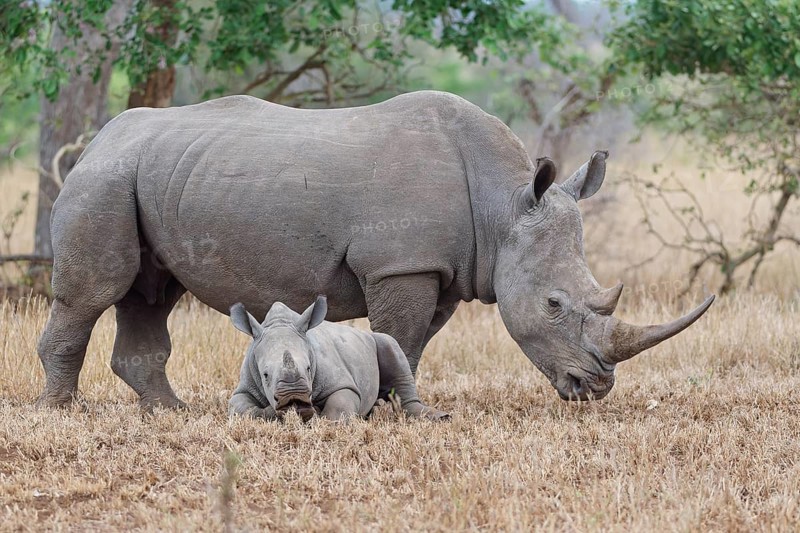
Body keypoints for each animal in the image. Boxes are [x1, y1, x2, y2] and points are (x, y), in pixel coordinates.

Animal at [228, 295, 448, 421]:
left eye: (309, 368)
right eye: (265, 375)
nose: (294, 397)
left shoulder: (342, 382)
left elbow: (339, 406)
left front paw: (320, 418)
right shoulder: (244, 385)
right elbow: (240, 408)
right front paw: (275, 413)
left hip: (375, 341)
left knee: (390, 344)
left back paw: (439, 417)